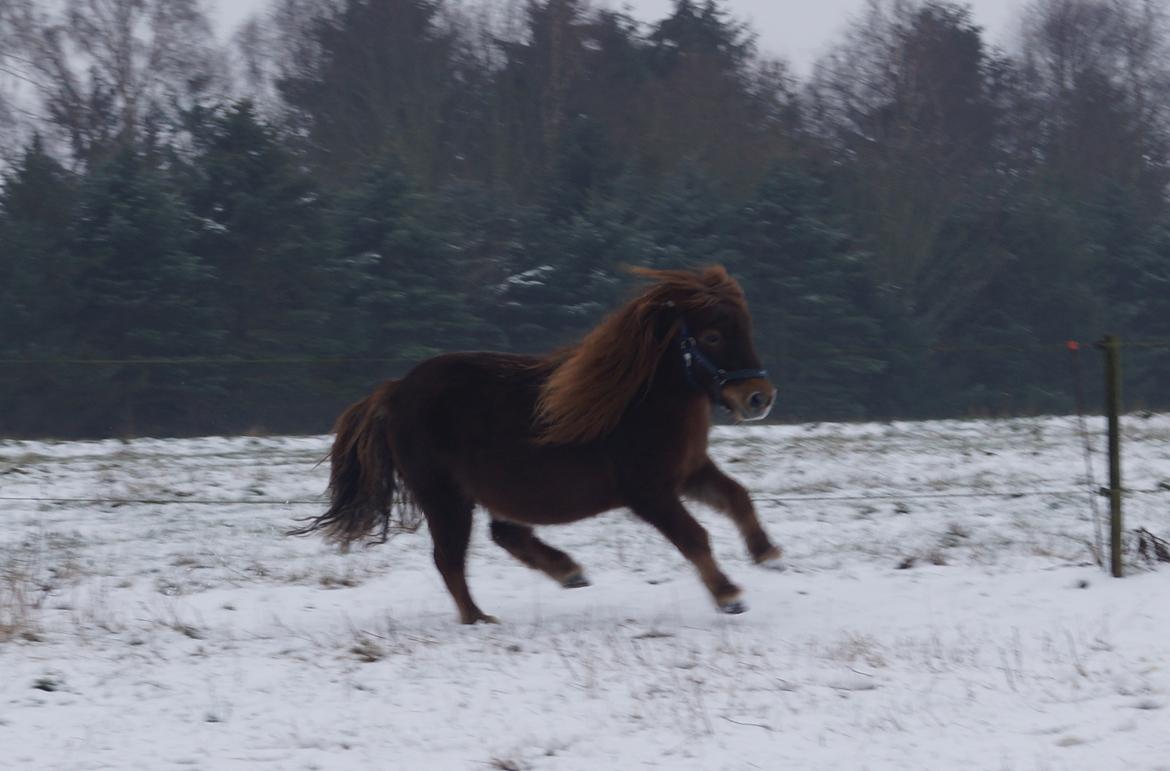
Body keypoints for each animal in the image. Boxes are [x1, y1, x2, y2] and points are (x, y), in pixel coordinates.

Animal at [292, 265, 786, 622]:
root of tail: (394, 390)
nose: (759, 397)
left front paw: (768, 554)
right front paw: (729, 596)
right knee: (450, 558)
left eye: (745, 328)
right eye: (713, 336)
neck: (638, 402)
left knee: (505, 533)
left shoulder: (688, 472)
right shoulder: (649, 493)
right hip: (445, 496)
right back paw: (479, 618)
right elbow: (694, 537)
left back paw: (567, 572)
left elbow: (737, 497)